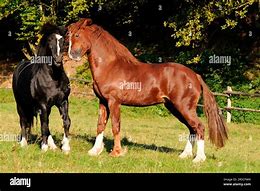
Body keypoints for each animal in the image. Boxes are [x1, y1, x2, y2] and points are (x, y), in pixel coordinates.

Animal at [12, 23, 70, 152]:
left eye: (63, 40)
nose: (58, 60)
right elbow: (44, 125)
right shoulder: (43, 104)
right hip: (21, 104)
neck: (54, 78)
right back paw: (23, 143)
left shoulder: (63, 102)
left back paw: (52, 145)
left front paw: (65, 147)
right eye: (49, 40)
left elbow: (66, 121)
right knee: (23, 121)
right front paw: (44, 147)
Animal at [67, 18, 228, 163]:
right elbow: (100, 125)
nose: (72, 55)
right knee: (192, 129)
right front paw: (94, 151)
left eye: (77, 35)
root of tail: (195, 75)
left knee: (199, 127)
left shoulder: (114, 102)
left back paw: (199, 159)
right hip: (175, 108)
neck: (110, 66)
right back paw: (184, 155)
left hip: (184, 108)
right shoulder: (103, 101)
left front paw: (116, 152)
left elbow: (115, 126)